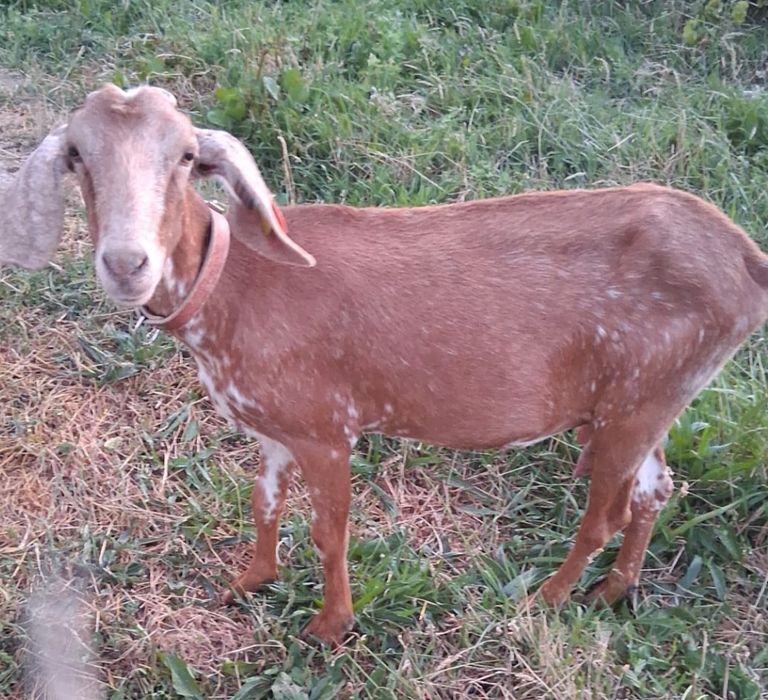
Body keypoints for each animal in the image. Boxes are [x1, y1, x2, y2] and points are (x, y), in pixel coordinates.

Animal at [12, 84, 768, 644]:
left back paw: (548, 600)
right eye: (77, 154)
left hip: (639, 398)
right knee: (656, 489)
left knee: (606, 511)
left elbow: (329, 531)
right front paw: (248, 582)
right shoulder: (271, 427)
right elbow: (263, 503)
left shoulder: (325, 426)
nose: (127, 263)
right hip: (652, 401)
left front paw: (328, 628)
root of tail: (747, 261)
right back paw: (615, 589)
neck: (236, 289)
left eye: (186, 155)